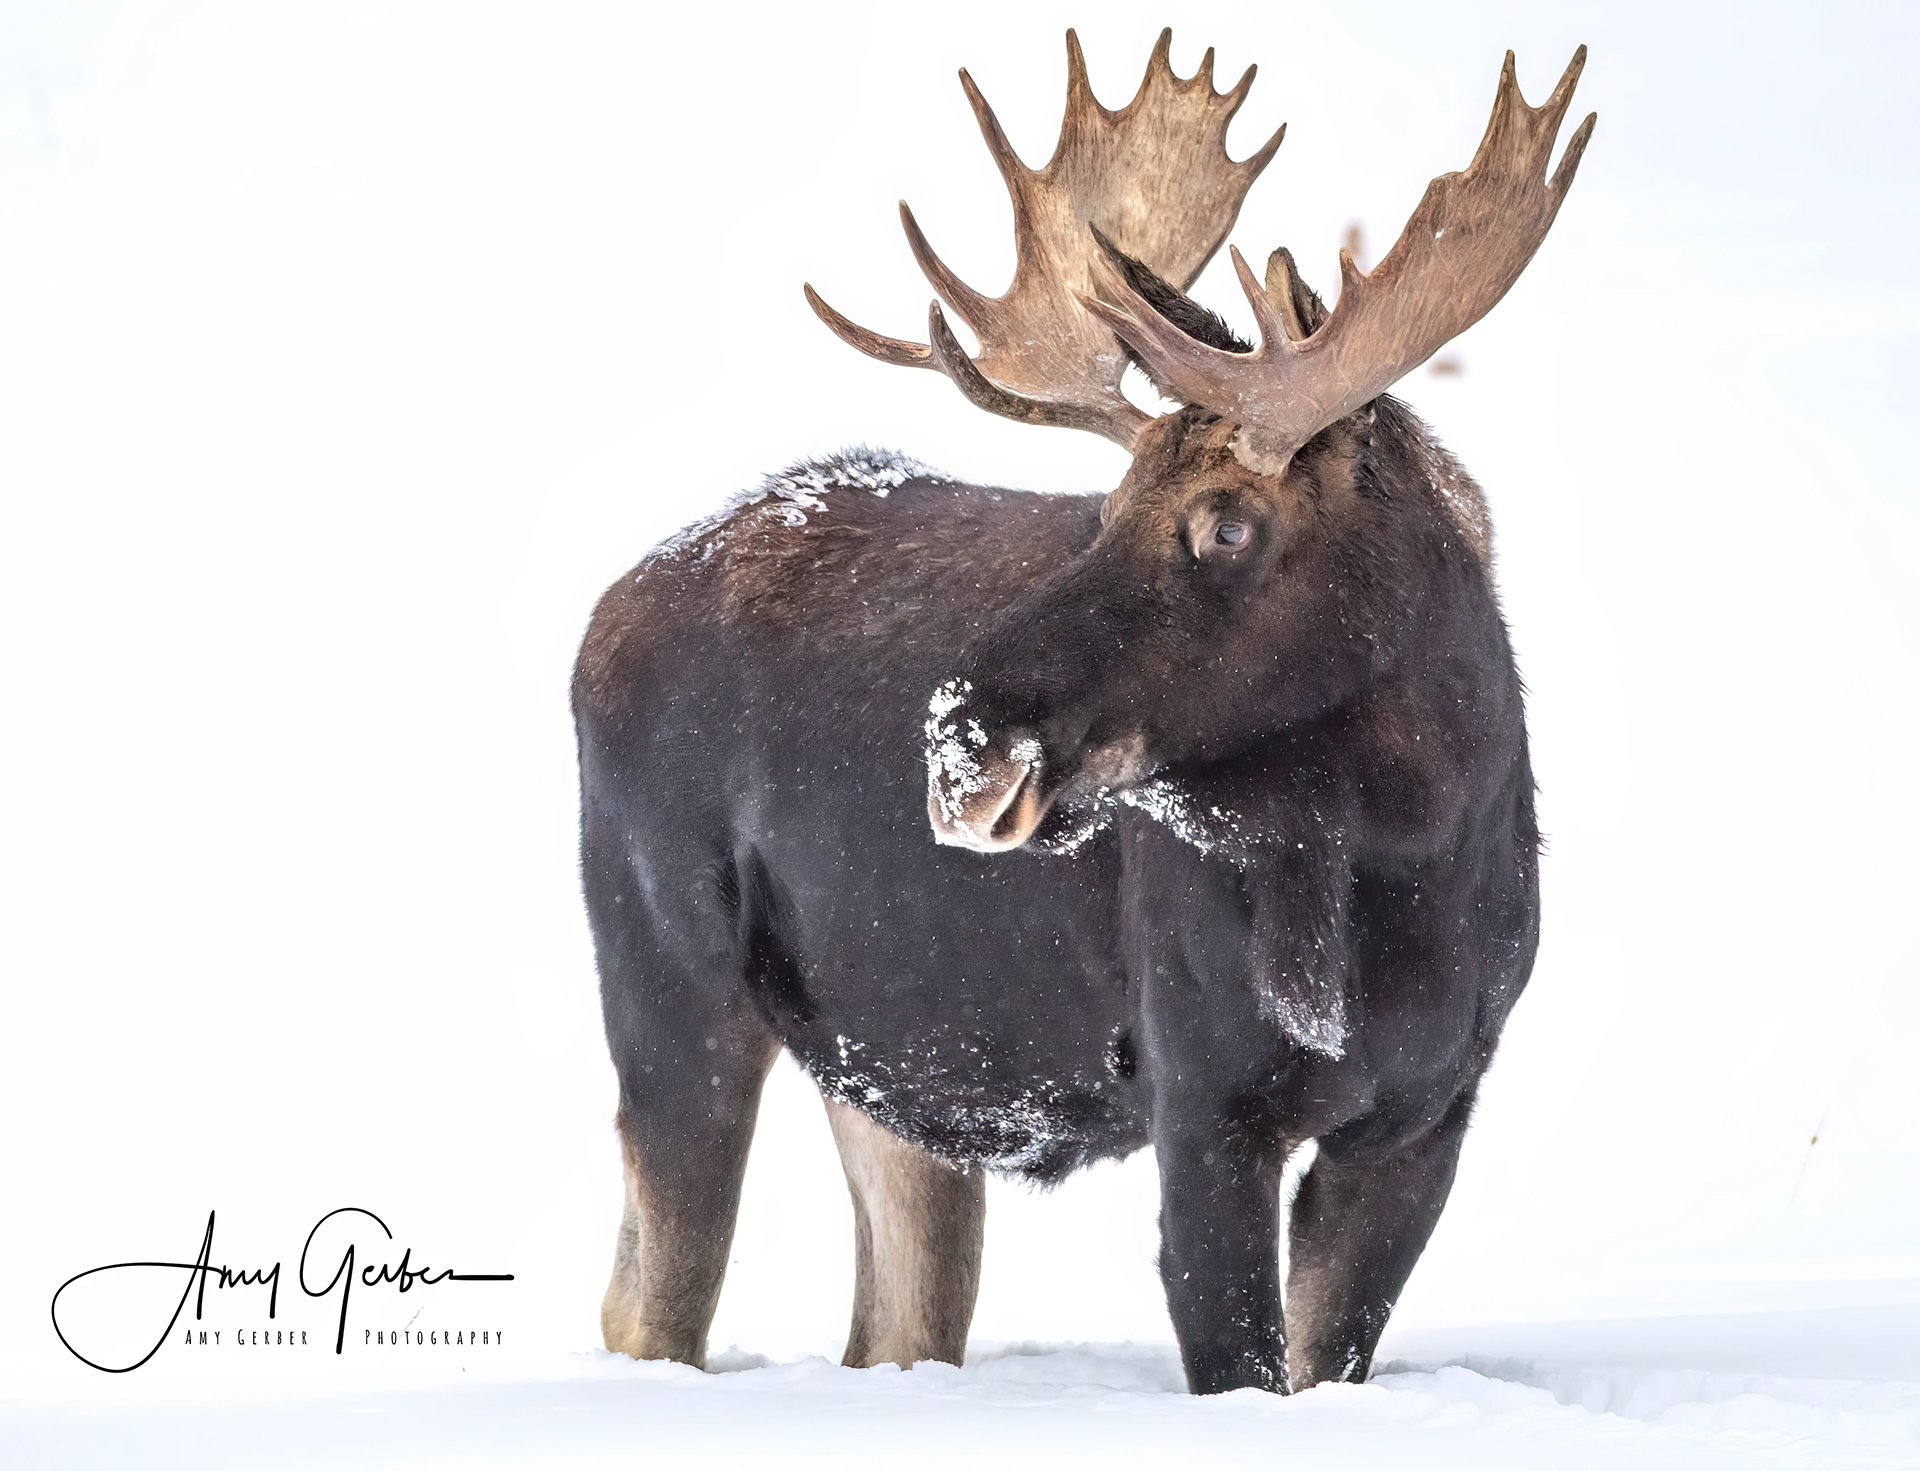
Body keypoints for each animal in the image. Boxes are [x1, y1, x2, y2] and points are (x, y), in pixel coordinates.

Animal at [572, 28, 1589, 1398]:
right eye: (1102, 508)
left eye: (1227, 523)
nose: (964, 740)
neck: (1406, 864)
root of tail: (601, 617)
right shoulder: (1204, 1103)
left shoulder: (1427, 1114)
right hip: (670, 985)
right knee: (646, 1309)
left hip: (891, 1069)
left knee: (890, 1324)